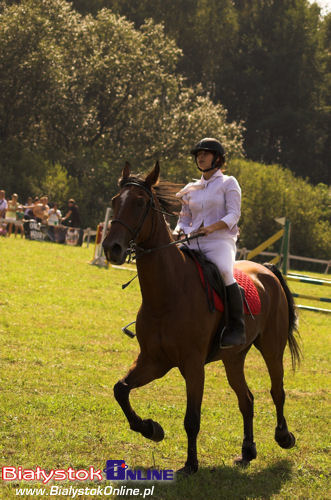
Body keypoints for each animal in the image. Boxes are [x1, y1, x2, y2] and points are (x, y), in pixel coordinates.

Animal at [102, 162, 302, 474]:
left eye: (140, 203)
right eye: (114, 201)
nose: (112, 248)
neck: (168, 293)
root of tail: (266, 269)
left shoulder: (193, 365)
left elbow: (191, 419)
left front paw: (190, 464)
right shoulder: (154, 360)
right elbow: (120, 390)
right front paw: (151, 429)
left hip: (272, 347)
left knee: (277, 390)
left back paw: (284, 436)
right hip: (234, 357)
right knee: (246, 399)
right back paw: (247, 451)